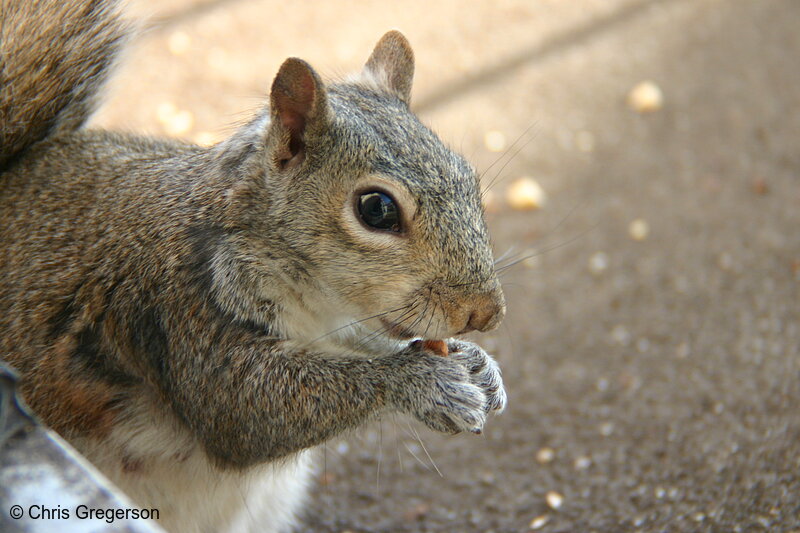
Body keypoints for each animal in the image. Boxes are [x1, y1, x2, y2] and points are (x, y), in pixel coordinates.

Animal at [1, 1, 506, 532]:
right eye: (376, 209)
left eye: (469, 175)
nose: (485, 313)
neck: (312, 302)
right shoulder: (181, 309)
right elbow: (245, 410)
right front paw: (423, 382)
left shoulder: (339, 324)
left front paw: (476, 362)